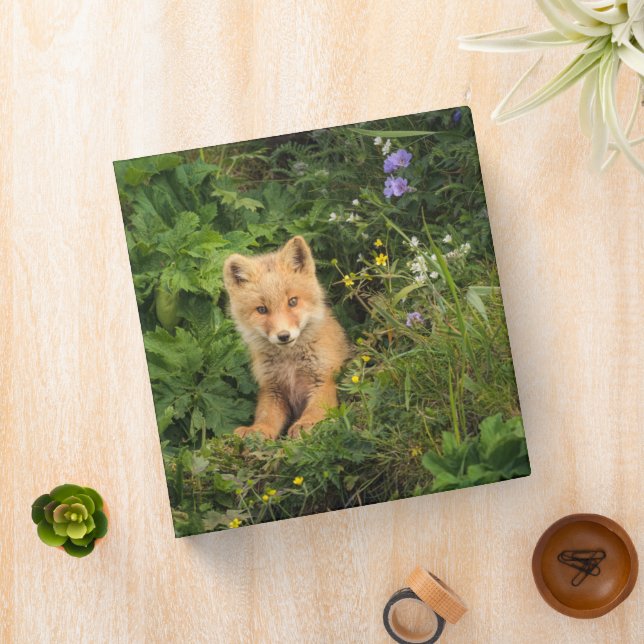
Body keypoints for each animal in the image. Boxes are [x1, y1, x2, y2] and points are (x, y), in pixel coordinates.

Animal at [223, 236, 350, 439]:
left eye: (292, 301)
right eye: (262, 309)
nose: (283, 336)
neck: (290, 363)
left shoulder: (324, 379)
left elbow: (316, 409)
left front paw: (306, 423)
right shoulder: (272, 389)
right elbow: (266, 417)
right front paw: (257, 430)